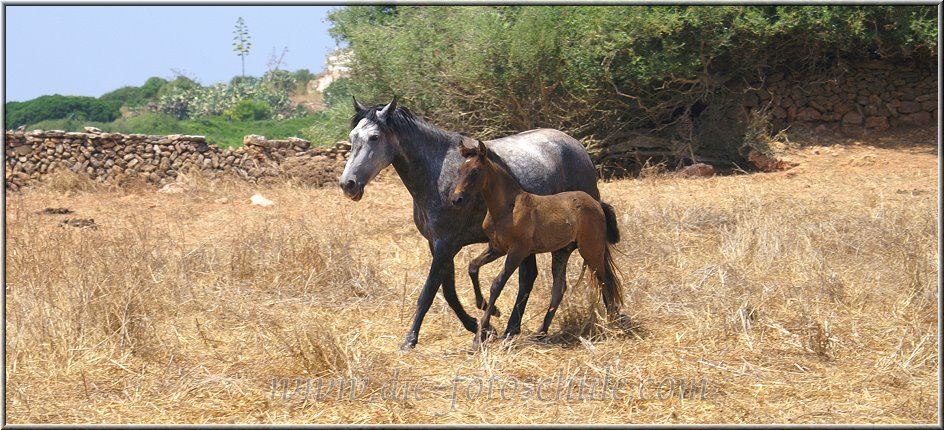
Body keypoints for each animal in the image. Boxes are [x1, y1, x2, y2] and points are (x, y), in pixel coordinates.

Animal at [340, 95, 620, 348]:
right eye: (353, 137)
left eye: (374, 137)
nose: (348, 184)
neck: (437, 173)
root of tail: (577, 146)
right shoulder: (438, 244)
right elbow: (449, 292)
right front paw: (482, 324)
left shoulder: (445, 245)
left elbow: (429, 292)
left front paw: (411, 338)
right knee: (530, 278)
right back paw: (512, 328)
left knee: (599, 270)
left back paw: (614, 318)